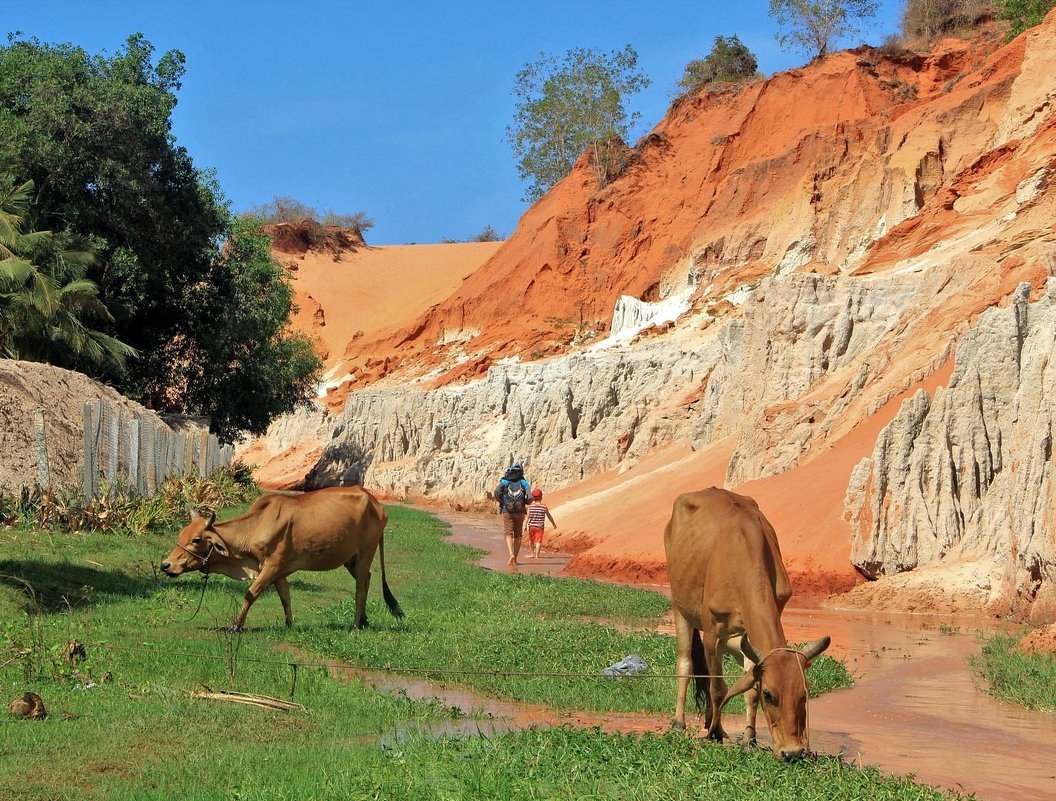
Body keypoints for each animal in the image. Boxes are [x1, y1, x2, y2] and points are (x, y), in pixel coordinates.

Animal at [160, 485, 403, 637]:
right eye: (181, 534)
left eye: (196, 539)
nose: (165, 565)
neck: (257, 524)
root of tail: (374, 500)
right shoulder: (279, 572)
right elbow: (285, 598)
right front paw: (289, 625)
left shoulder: (271, 567)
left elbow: (251, 593)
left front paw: (235, 626)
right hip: (350, 559)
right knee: (367, 580)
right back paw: (364, 621)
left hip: (365, 553)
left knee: (360, 589)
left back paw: (354, 626)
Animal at [663, 485, 827, 759]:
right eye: (769, 695)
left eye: (805, 692)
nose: (793, 752)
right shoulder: (712, 634)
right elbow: (717, 688)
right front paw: (716, 732)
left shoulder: (749, 639)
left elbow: (748, 690)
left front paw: (749, 738)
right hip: (680, 608)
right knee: (686, 665)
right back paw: (680, 723)